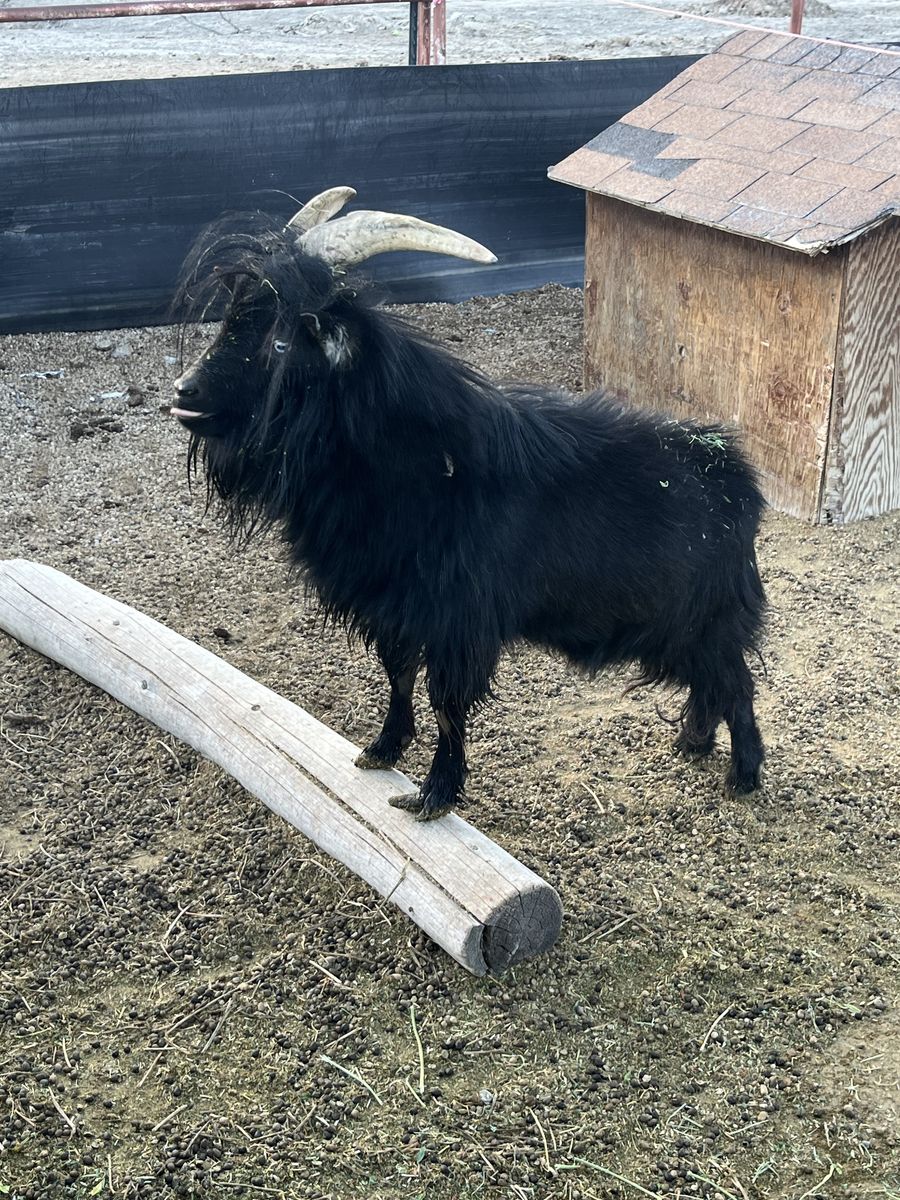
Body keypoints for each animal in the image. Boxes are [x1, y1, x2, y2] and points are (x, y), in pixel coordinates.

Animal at [171, 187, 766, 821]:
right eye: (232, 318)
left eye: (280, 340)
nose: (185, 392)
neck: (422, 466)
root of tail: (738, 479)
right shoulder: (397, 607)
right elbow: (398, 677)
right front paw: (381, 751)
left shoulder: (457, 617)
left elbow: (446, 703)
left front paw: (435, 794)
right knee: (710, 684)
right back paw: (693, 742)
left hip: (708, 618)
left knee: (736, 684)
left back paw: (743, 774)